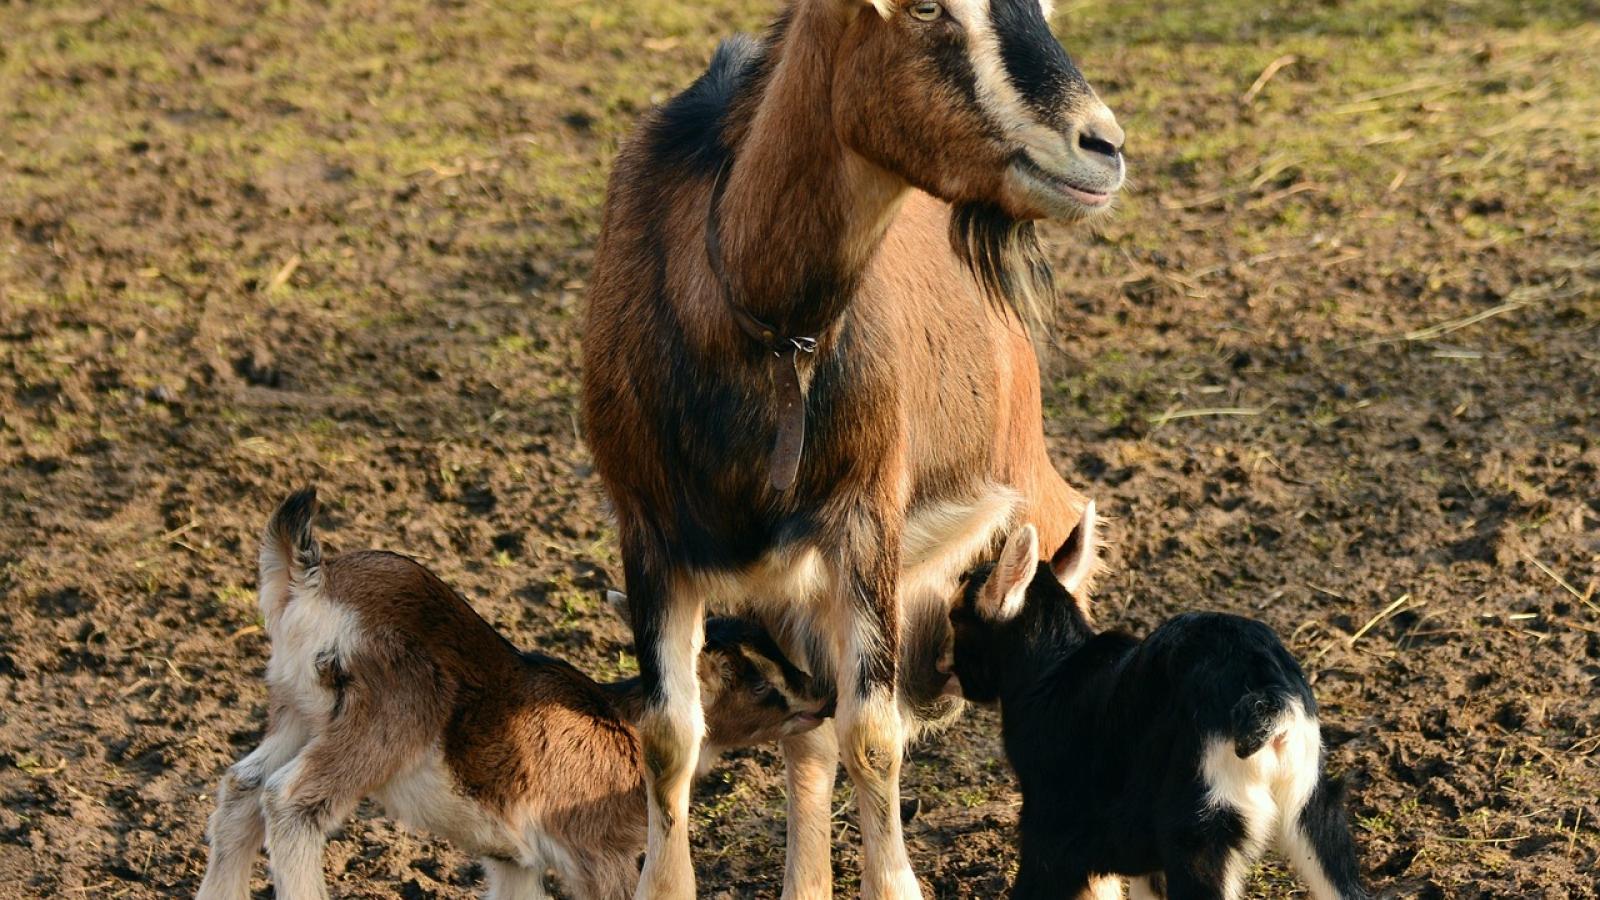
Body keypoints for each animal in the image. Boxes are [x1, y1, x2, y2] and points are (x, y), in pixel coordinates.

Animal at [195, 488, 833, 900]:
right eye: (755, 679)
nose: (822, 696)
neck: (621, 726)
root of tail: (312, 580)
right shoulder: (596, 854)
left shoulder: (513, 858)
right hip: (387, 715)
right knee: (289, 800)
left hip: (298, 712)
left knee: (242, 787)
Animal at [583, 1, 1125, 895]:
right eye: (925, 9)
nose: (1102, 146)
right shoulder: (649, 530)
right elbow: (673, 736)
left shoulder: (867, 517)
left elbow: (870, 734)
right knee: (810, 735)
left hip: (1025, 487)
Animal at [945, 503, 1371, 900]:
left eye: (955, 616)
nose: (941, 672)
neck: (1053, 669)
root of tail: (1267, 693)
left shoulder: (1051, 836)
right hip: (1312, 807)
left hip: (1200, 828)